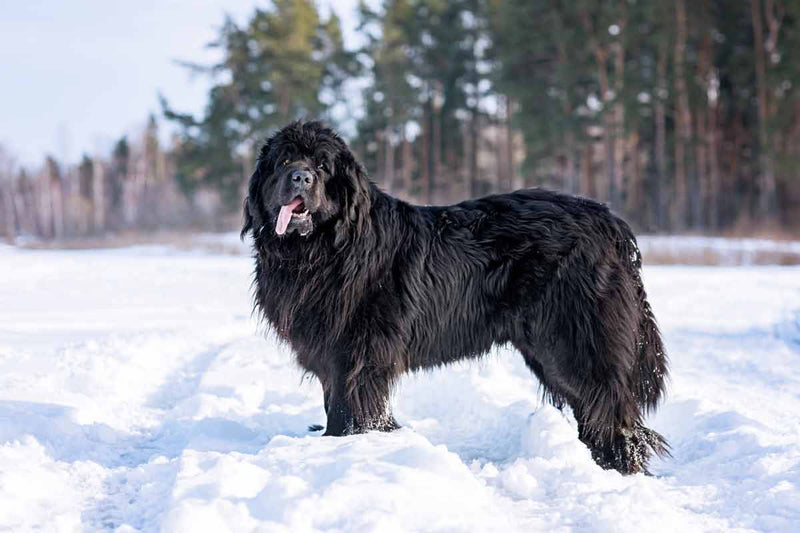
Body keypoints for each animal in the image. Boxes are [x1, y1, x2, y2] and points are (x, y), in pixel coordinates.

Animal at [242, 120, 668, 474]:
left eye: (323, 166)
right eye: (283, 160)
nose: (300, 176)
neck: (319, 251)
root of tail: (608, 221)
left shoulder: (357, 354)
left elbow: (350, 410)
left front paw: (345, 447)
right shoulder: (332, 354)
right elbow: (335, 402)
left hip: (573, 343)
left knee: (611, 409)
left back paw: (616, 468)